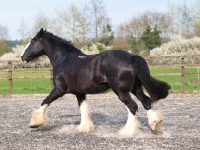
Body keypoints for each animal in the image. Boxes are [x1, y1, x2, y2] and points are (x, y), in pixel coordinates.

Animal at [20, 28, 170, 137]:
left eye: (32, 41)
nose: (22, 56)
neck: (64, 59)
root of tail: (132, 57)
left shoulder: (59, 89)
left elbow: (45, 101)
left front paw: (35, 123)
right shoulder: (79, 93)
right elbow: (83, 109)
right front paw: (85, 128)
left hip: (121, 91)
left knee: (133, 106)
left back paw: (126, 132)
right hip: (135, 88)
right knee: (146, 102)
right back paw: (156, 126)